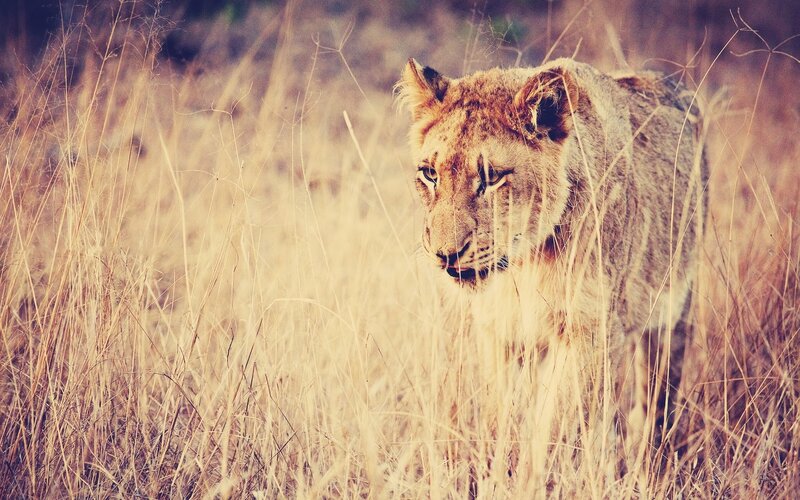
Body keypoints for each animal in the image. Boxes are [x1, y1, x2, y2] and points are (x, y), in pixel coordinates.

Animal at [396, 57, 708, 478]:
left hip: (672, 315)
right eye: (430, 173)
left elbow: (557, 424)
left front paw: (535, 478)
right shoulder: (498, 330)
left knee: (656, 400)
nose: (446, 254)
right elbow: (503, 414)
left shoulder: (590, 330)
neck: (522, 264)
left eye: (491, 177)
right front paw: (500, 470)